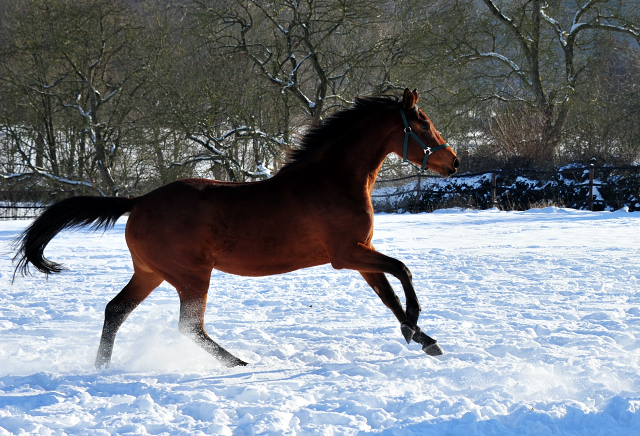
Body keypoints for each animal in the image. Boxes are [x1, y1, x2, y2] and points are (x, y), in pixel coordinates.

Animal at [12, 88, 458, 368]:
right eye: (423, 124)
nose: (453, 162)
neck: (334, 181)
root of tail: (138, 201)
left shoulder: (361, 255)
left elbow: (389, 296)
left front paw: (422, 338)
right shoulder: (347, 255)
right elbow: (403, 270)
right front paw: (416, 328)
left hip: (151, 273)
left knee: (116, 311)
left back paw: (102, 367)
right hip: (192, 276)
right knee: (188, 326)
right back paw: (237, 362)